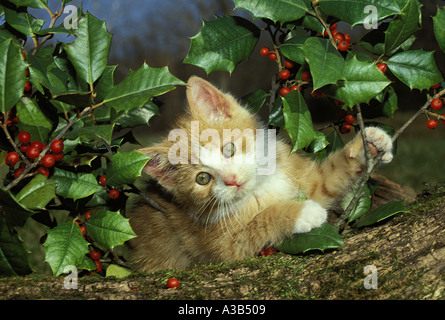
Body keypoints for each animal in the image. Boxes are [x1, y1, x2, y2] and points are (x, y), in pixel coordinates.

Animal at [126, 75, 390, 272]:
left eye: (228, 148)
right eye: (202, 178)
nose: (231, 180)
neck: (260, 188)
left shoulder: (306, 179)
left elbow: (328, 179)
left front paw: (369, 145)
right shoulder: (222, 244)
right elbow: (260, 221)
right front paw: (301, 212)